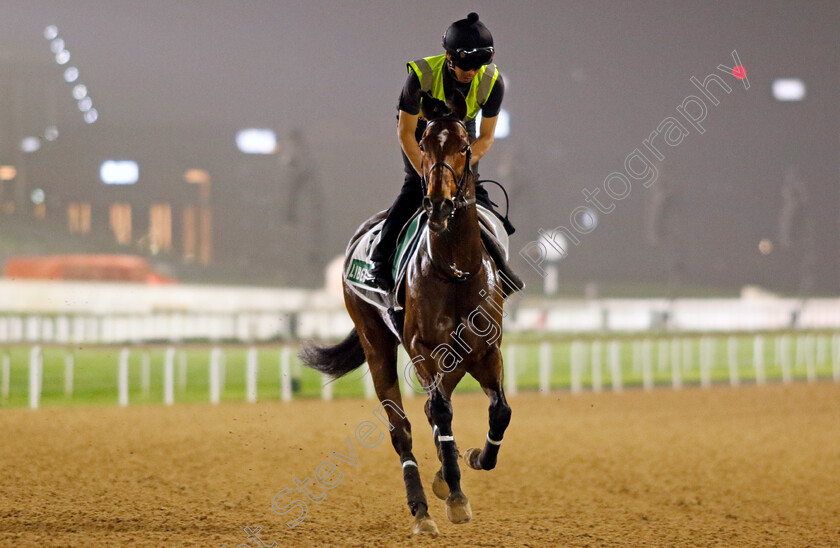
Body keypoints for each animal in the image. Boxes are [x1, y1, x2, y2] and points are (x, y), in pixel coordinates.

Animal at [302, 93, 512, 536]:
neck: (454, 269)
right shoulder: (422, 347)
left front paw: (473, 459)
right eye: (425, 145)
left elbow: (499, 411)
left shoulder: (486, 350)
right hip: (376, 340)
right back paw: (421, 510)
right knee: (402, 430)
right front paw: (455, 496)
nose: (439, 203)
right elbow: (440, 414)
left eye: (464, 147)